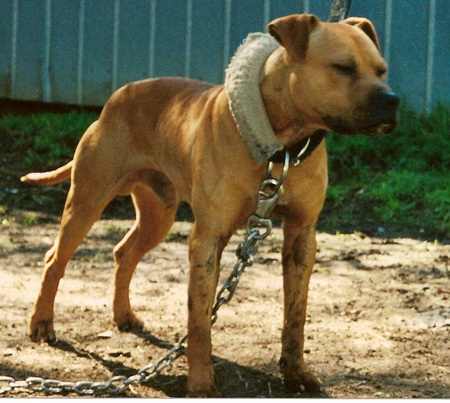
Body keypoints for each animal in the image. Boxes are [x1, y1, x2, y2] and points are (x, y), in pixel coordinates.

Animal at [21, 14, 400, 396]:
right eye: (343, 68)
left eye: (381, 70)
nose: (393, 100)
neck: (281, 147)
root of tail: (115, 99)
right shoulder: (207, 240)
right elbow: (199, 320)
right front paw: (201, 383)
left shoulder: (302, 236)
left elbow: (295, 316)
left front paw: (296, 374)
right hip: (87, 202)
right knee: (55, 259)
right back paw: (42, 324)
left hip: (158, 215)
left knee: (123, 253)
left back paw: (123, 316)